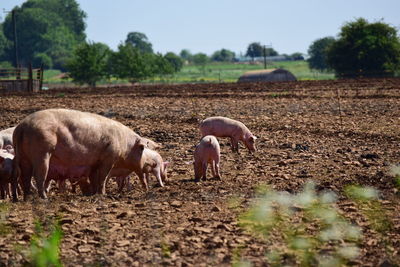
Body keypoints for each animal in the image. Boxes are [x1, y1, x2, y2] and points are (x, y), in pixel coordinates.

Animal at [11, 108, 148, 202]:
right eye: (142, 149)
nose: (146, 188)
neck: (124, 144)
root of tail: (22, 127)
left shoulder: (94, 163)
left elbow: (94, 178)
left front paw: (94, 193)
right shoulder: (109, 157)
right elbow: (103, 177)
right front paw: (103, 194)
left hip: (23, 156)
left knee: (25, 176)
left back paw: (27, 198)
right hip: (42, 152)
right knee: (38, 175)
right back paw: (44, 198)